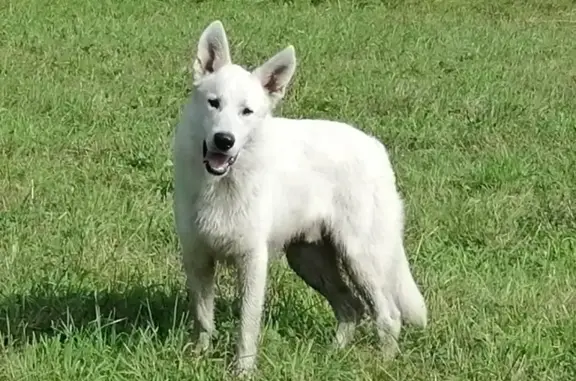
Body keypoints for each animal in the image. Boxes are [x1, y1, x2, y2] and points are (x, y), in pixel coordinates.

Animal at [172, 20, 428, 374]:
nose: (224, 140)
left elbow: (246, 326)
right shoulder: (197, 258)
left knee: (388, 316)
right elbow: (203, 318)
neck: (222, 184)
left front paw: (243, 371)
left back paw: (382, 364)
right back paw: (333, 355)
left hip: (361, 258)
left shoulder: (252, 262)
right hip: (308, 260)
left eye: (246, 112)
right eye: (214, 103)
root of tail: (376, 147)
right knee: (351, 307)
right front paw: (199, 357)